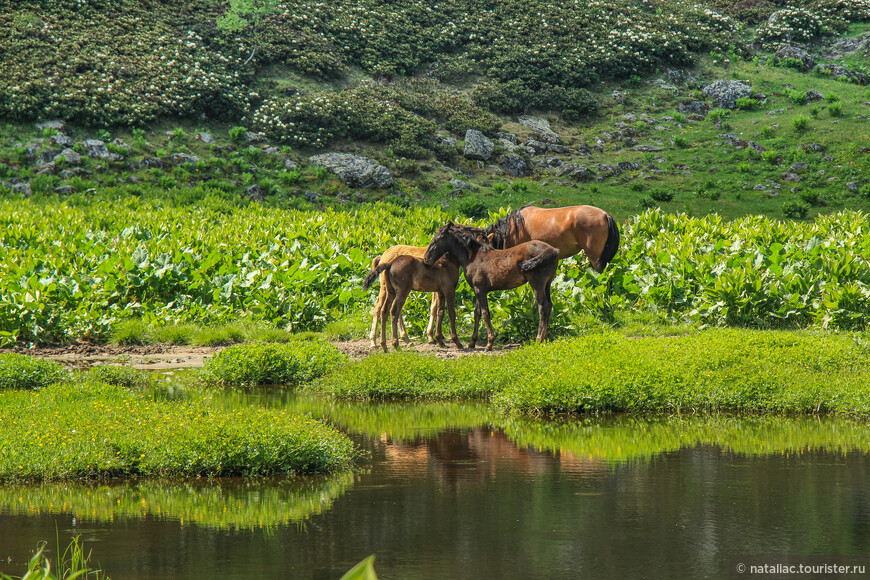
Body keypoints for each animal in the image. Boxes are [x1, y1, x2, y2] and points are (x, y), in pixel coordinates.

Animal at [424, 221, 560, 348]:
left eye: (436, 239)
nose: (426, 259)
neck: (473, 257)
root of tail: (552, 249)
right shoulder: (478, 289)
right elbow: (477, 313)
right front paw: (472, 342)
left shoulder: (480, 289)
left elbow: (485, 313)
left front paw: (489, 344)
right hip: (547, 284)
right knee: (549, 305)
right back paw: (545, 338)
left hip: (537, 284)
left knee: (542, 307)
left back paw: (538, 339)